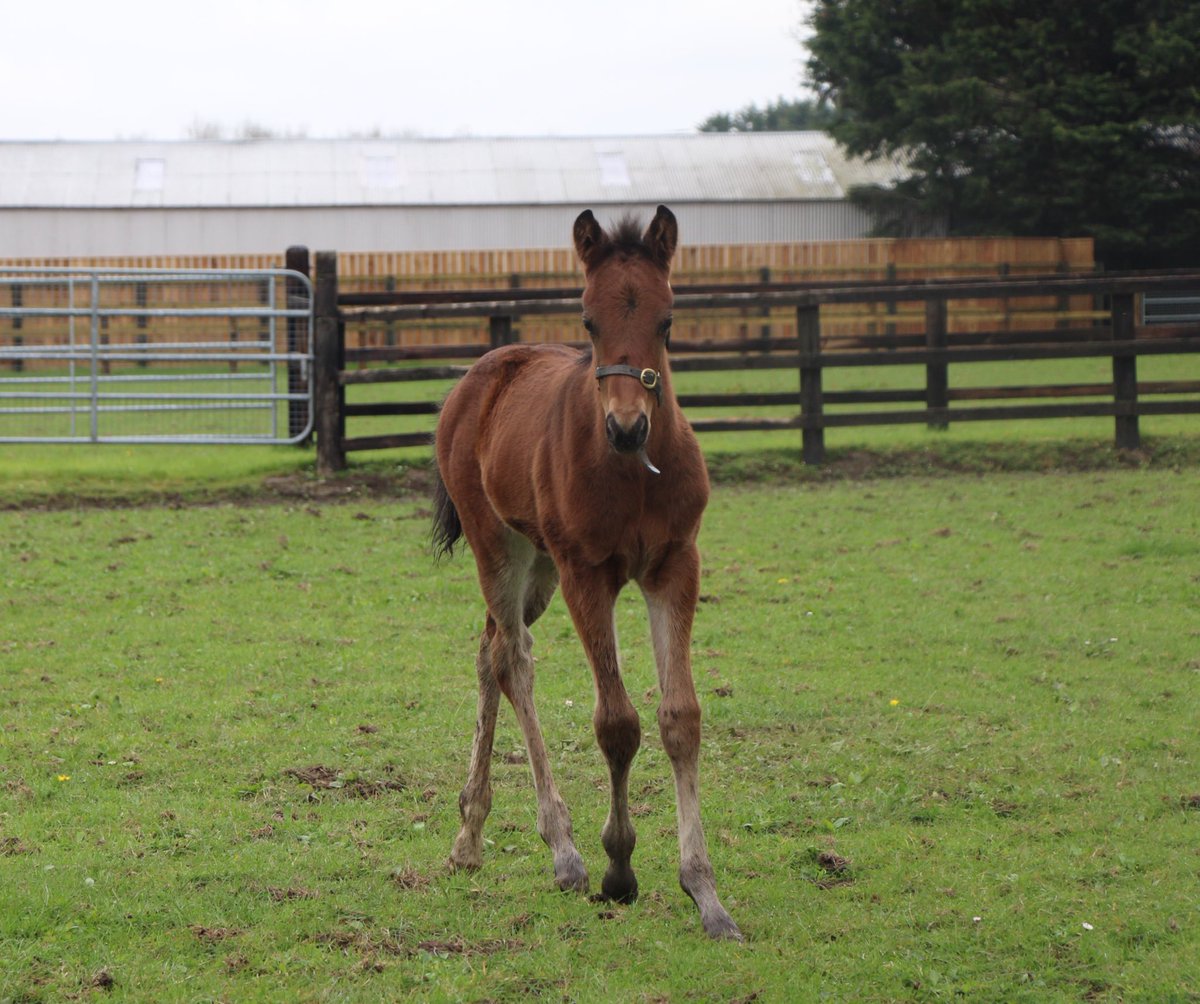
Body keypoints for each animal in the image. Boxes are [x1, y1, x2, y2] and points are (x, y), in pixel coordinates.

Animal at [431, 205, 740, 941]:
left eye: (667, 319)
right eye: (587, 319)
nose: (627, 427)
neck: (633, 473)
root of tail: (479, 374)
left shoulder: (675, 565)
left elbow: (680, 716)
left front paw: (705, 893)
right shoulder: (586, 574)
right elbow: (617, 722)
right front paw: (618, 868)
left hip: (536, 566)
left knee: (489, 650)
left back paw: (469, 837)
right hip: (500, 548)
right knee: (513, 660)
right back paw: (562, 849)